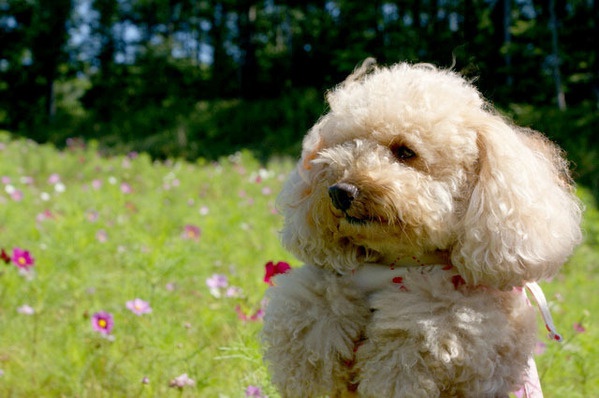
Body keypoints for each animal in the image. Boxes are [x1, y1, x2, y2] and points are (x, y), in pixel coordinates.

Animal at [262, 59, 580, 398]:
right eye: (344, 147)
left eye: (405, 152)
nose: (339, 192)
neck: (398, 265)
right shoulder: (324, 292)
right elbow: (315, 311)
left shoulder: (422, 344)